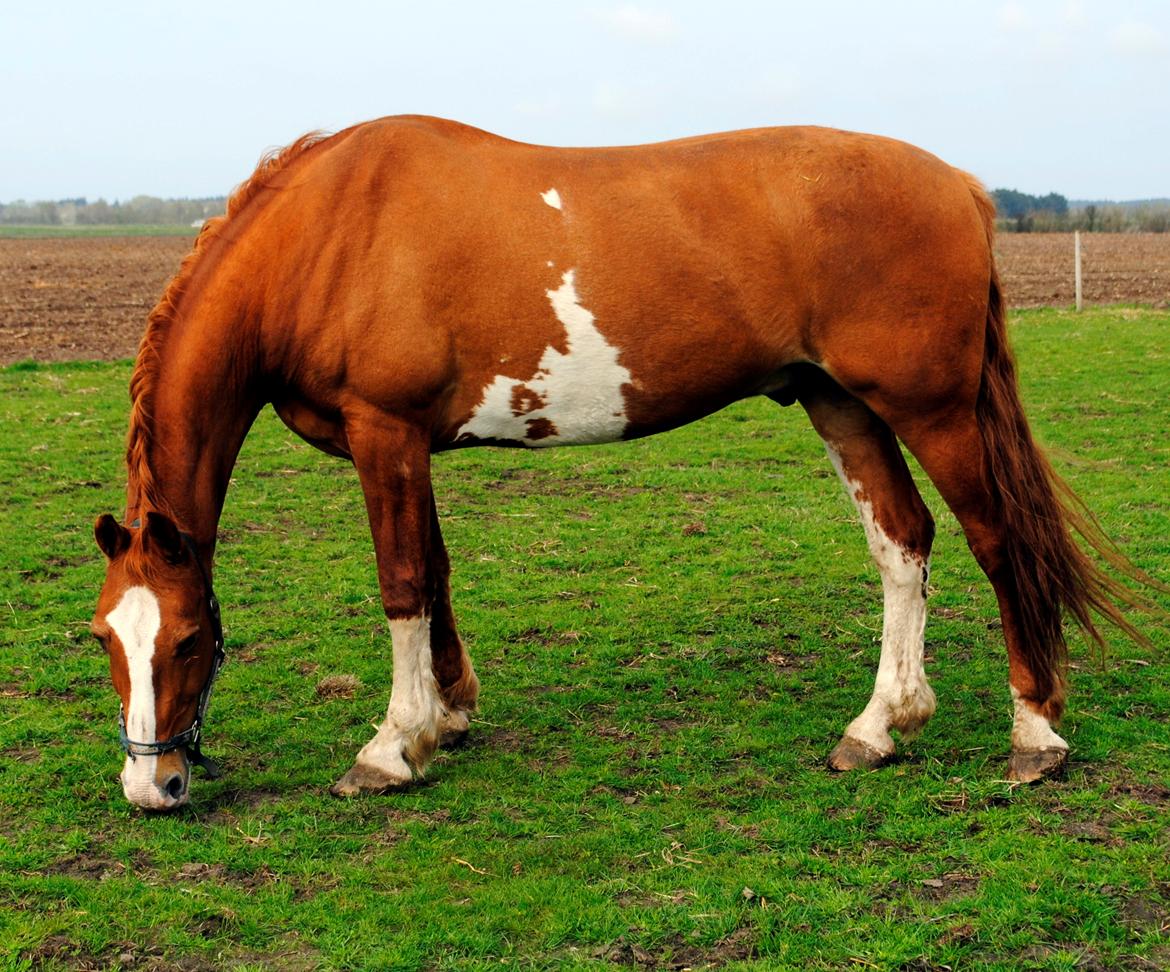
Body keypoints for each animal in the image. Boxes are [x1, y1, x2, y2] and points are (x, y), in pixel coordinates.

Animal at [88, 115, 1141, 814]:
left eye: (190, 641)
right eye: (105, 639)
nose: (152, 783)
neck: (329, 234)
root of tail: (960, 184)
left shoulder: (382, 432)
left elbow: (401, 585)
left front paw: (391, 746)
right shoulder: (411, 443)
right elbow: (436, 574)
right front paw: (449, 716)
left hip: (932, 408)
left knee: (995, 542)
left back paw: (1035, 733)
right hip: (839, 400)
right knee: (902, 543)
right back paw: (879, 727)